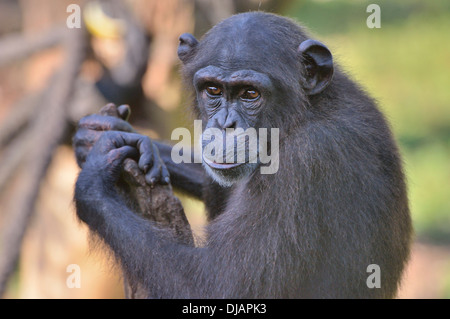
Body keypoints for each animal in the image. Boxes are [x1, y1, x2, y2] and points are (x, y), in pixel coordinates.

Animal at [73, 11, 412, 298]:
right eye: (212, 90)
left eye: (250, 93)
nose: (225, 123)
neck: (304, 112)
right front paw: (106, 134)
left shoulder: (307, 161)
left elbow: (221, 286)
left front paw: (93, 183)